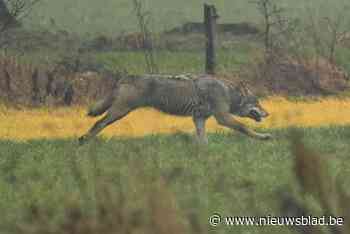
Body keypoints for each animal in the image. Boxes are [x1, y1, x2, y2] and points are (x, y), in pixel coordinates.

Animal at [78, 75, 272, 144]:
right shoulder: (223, 118)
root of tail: (125, 78)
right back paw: (83, 140)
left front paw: (203, 151)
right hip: (119, 112)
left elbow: (202, 138)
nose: (268, 113)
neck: (227, 93)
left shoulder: (199, 118)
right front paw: (264, 137)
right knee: (98, 123)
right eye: (258, 103)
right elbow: (245, 127)